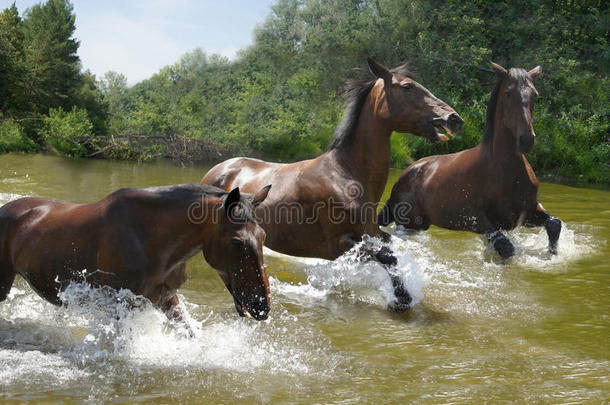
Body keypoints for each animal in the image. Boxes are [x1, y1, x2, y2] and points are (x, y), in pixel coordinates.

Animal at [200, 57, 460, 310]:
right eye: (407, 86)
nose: (454, 118)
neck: (346, 174)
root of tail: (218, 169)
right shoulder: (339, 245)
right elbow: (385, 256)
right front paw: (401, 300)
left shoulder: (372, 234)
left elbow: (391, 254)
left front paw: (403, 297)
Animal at [380, 63, 560, 258]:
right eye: (508, 93)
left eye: (535, 94)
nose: (527, 140)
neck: (504, 168)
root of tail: (402, 178)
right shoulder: (478, 220)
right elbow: (505, 248)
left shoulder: (527, 213)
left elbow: (554, 224)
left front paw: (552, 254)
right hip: (411, 223)